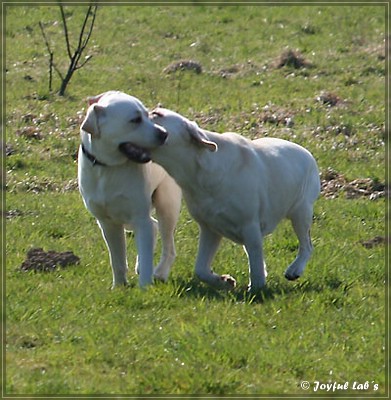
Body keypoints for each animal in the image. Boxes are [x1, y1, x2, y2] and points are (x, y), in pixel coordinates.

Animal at [78, 92, 182, 290]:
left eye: (148, 115)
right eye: (135, 120)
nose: (164, 134)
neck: (108, 168)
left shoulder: (140, 218)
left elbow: (147, 255)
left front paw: (145, 288)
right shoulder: (108, 224)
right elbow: (117, 260)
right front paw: (119, 286)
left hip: (167, 205)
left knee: (168, 246)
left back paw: (160, 273)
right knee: (154, 227)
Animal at [130, 108, 320, 292]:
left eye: (157, 114)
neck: (197, 170)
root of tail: (308, 153)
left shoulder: (249, 226)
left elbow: (256, 266)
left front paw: (257, 289)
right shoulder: (210, 229)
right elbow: (200, 269)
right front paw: (224, 282)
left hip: (300, 212)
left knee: (306, 245)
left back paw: (294, 270)